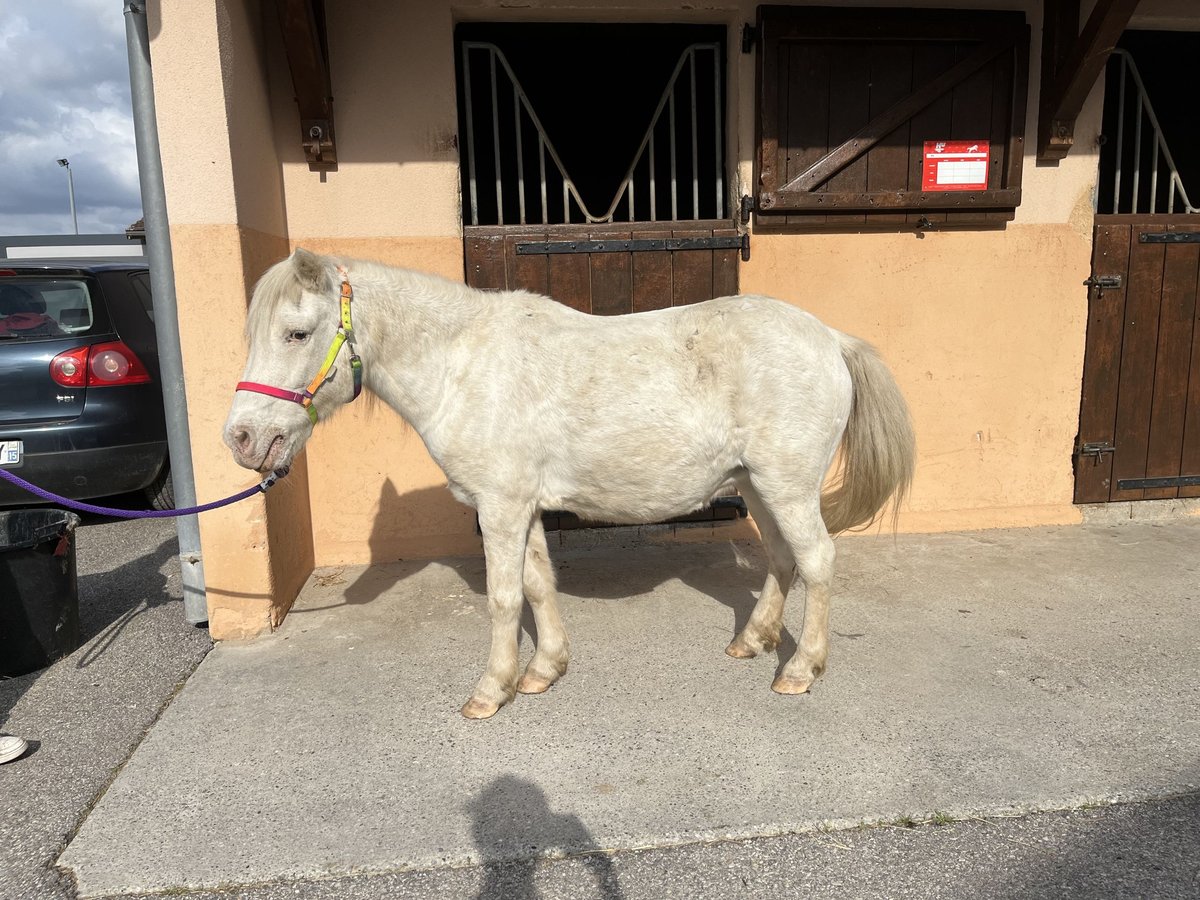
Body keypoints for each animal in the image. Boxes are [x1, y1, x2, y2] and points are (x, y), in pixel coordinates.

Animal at [225, 247, 912, 720]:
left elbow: (504, 598)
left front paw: (491, 691)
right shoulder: (520, 506)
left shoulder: (500, 507)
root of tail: (830, 339)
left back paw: (800, 669)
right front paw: (543, 670)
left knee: (817, 561)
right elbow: (537, 584)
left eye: (296, 332)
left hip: (787, 487)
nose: (241, 438)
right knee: (782, 559)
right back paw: (752, 641)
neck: (463, 366)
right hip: (756, 487)